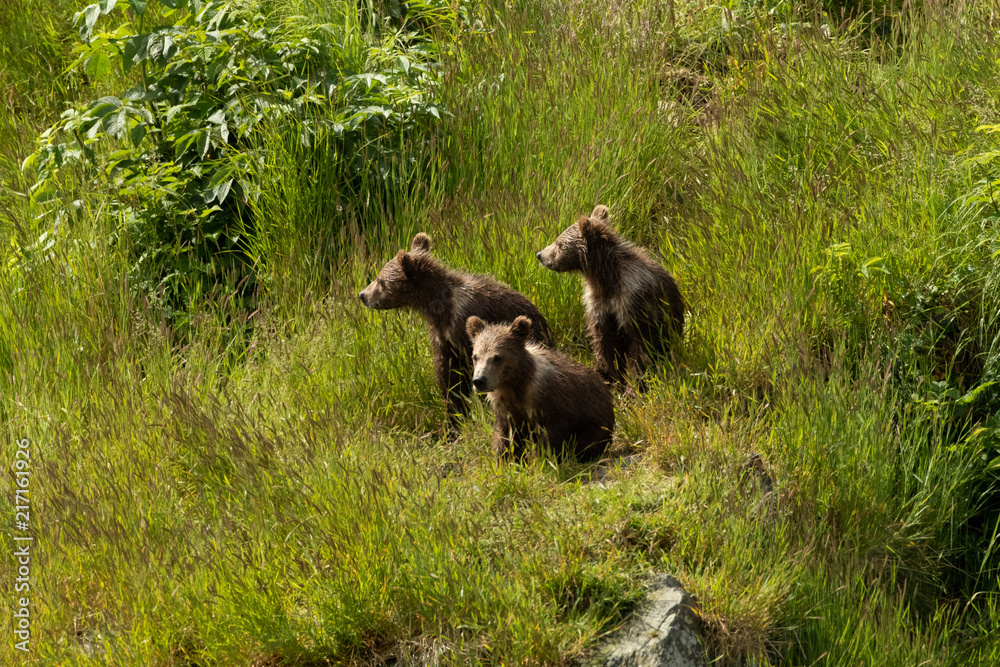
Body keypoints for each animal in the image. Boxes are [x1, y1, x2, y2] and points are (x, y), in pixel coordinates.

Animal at [359, 232, 553, 423]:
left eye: (380, 280)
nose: (362, 295)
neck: (442, 309)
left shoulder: (465, 327)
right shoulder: (443, 338)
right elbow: (449, 377)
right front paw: (456, 414)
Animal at [466, 315, 614, 462]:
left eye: (497, 357)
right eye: (475, 356)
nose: (479, 380)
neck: (514, 385)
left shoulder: (551, 404)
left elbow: (552, 435)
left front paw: (542, 458)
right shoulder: (505, 408)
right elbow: (505, 437)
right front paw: (503, 459)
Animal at [535, 205, 685, 386]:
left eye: (559, 243)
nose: (540, 255)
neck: (606, 278)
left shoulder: (633, 301)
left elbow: (642, 343)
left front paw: (634, 382)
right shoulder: (600, 305)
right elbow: (605, 341)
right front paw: (610, 375)